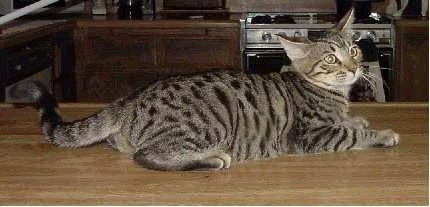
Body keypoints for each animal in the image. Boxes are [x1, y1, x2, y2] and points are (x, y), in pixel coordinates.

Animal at [15, 8, 400, 171]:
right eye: (331, 59)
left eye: (353, 51)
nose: (354, 68)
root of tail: (129, 100)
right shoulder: (309, 136)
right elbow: (350, 135)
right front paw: (381, 133)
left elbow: (349, 124)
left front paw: (359, 120)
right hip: (206, 126)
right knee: (148, 156)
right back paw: (212, 159)